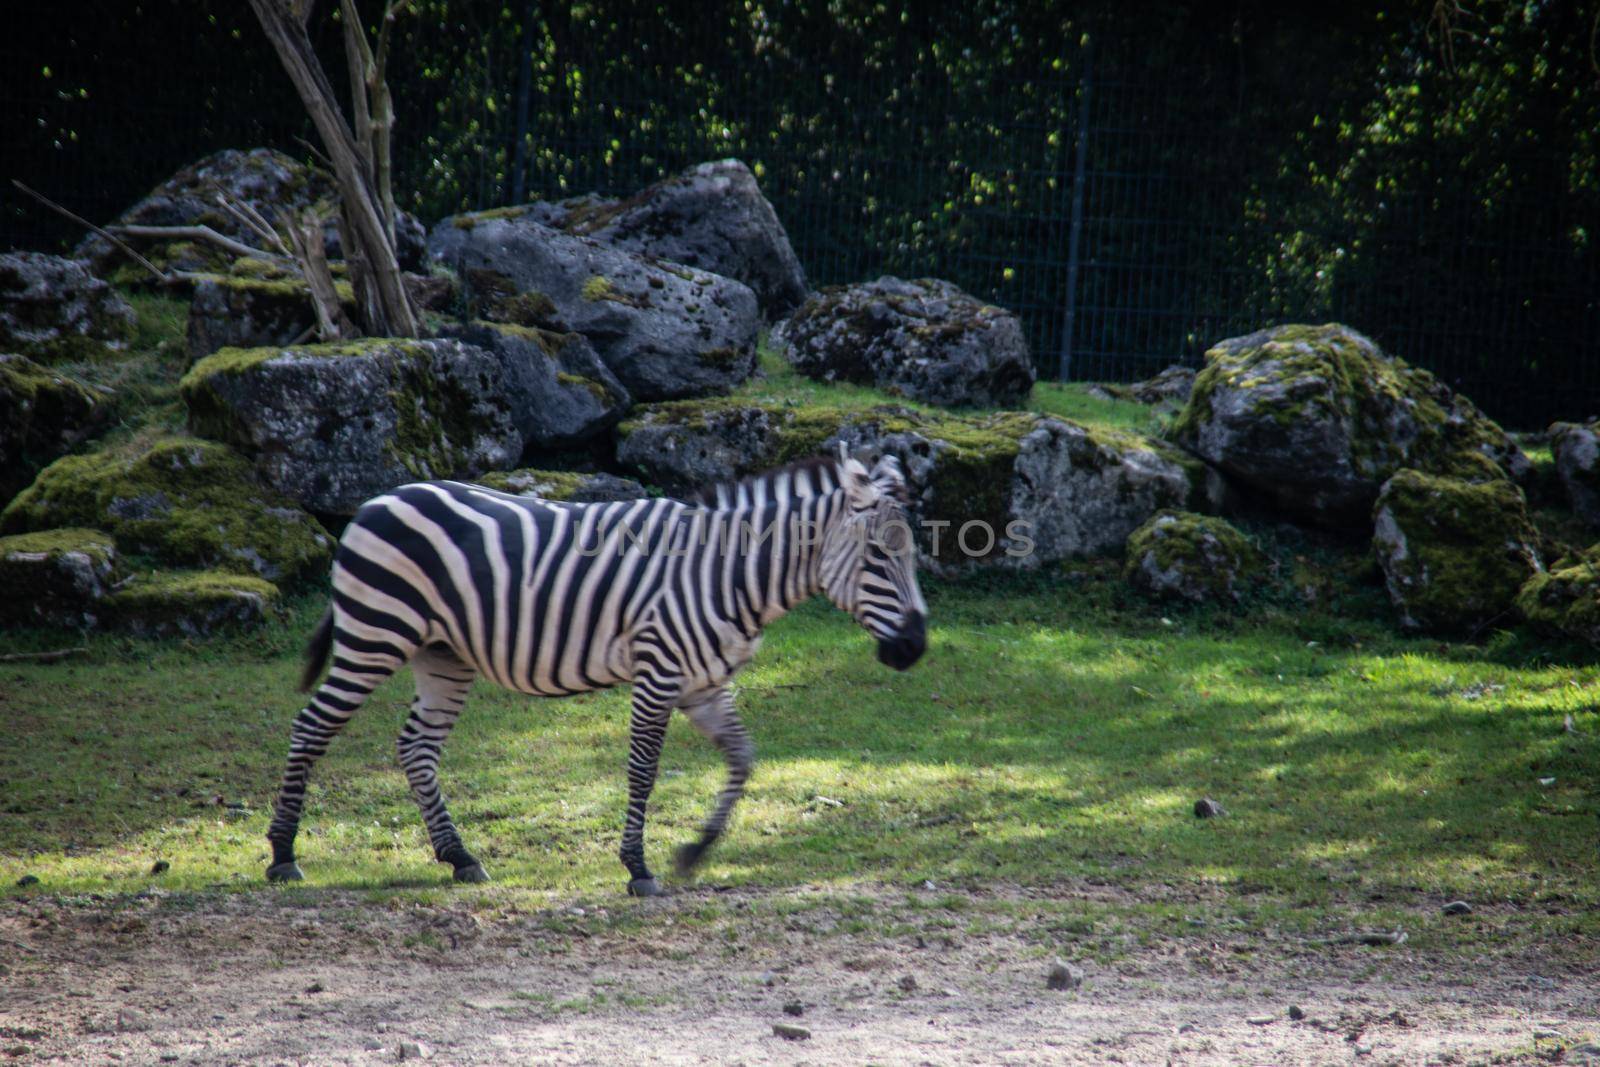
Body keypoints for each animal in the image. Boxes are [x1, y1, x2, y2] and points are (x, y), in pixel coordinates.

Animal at [265, 447, 928, 895]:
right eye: (878, 555)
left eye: (913, 552)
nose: (916, 648)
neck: (726, 572)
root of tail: (376, 500)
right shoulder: (659, 672)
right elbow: (643, 770)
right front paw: (638, 867)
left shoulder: (706, 684)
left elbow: (743, 760)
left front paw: (694, 851)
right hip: (375, 635)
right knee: (310, 728)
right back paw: (282, 854)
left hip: (442, 654)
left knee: (417, 747)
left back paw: (459, 856)